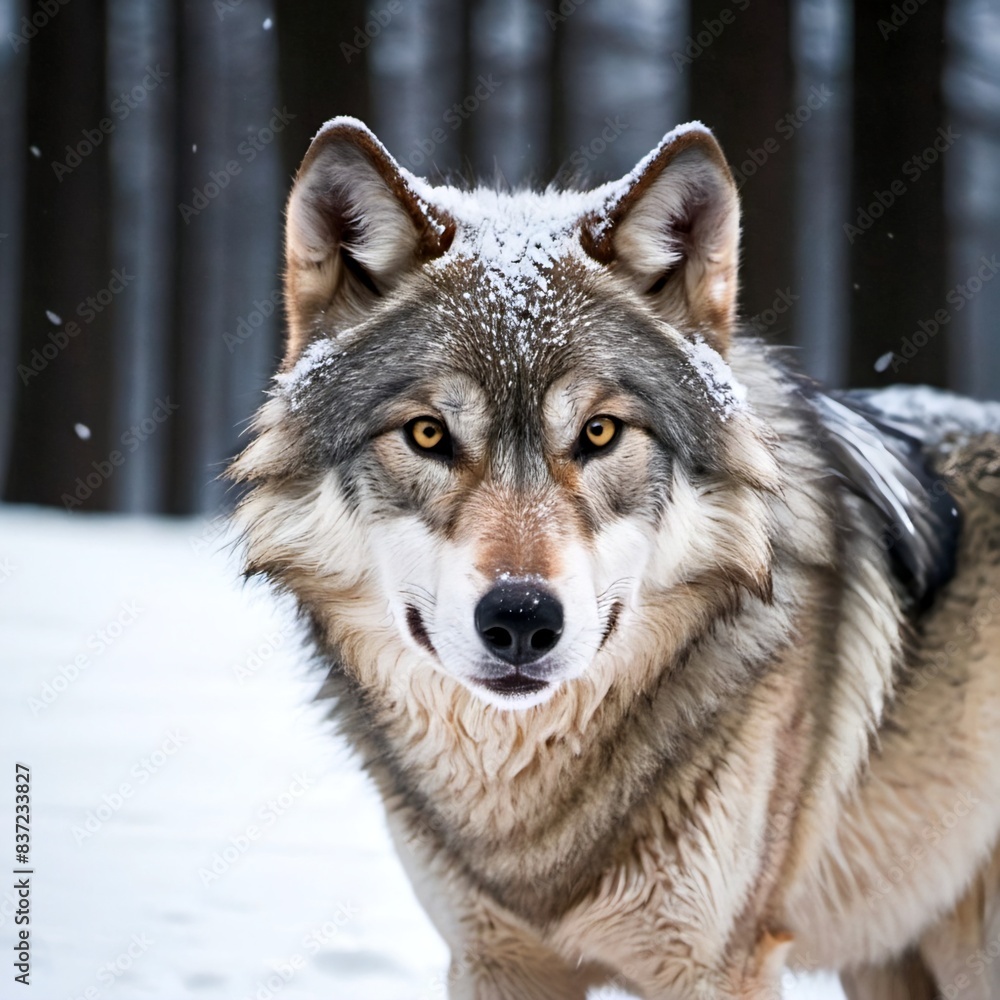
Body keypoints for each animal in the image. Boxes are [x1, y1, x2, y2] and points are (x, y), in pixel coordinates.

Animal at [230, 118, 1000, 999]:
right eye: (428, 433)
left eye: (599, 433)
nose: (521, 619)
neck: (525, 802)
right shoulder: (491, 961)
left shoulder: (718, 965)